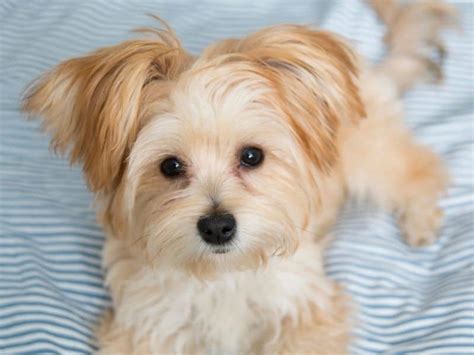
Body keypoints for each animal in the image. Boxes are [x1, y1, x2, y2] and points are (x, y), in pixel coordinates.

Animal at [22, 1, 456, 354]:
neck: (221, 276)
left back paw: (421, 221)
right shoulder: (144, 324)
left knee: (421, 168)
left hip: (367, 156)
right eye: (170, 166)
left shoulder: (306, 311)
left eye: (251, 156)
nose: (217, 227)